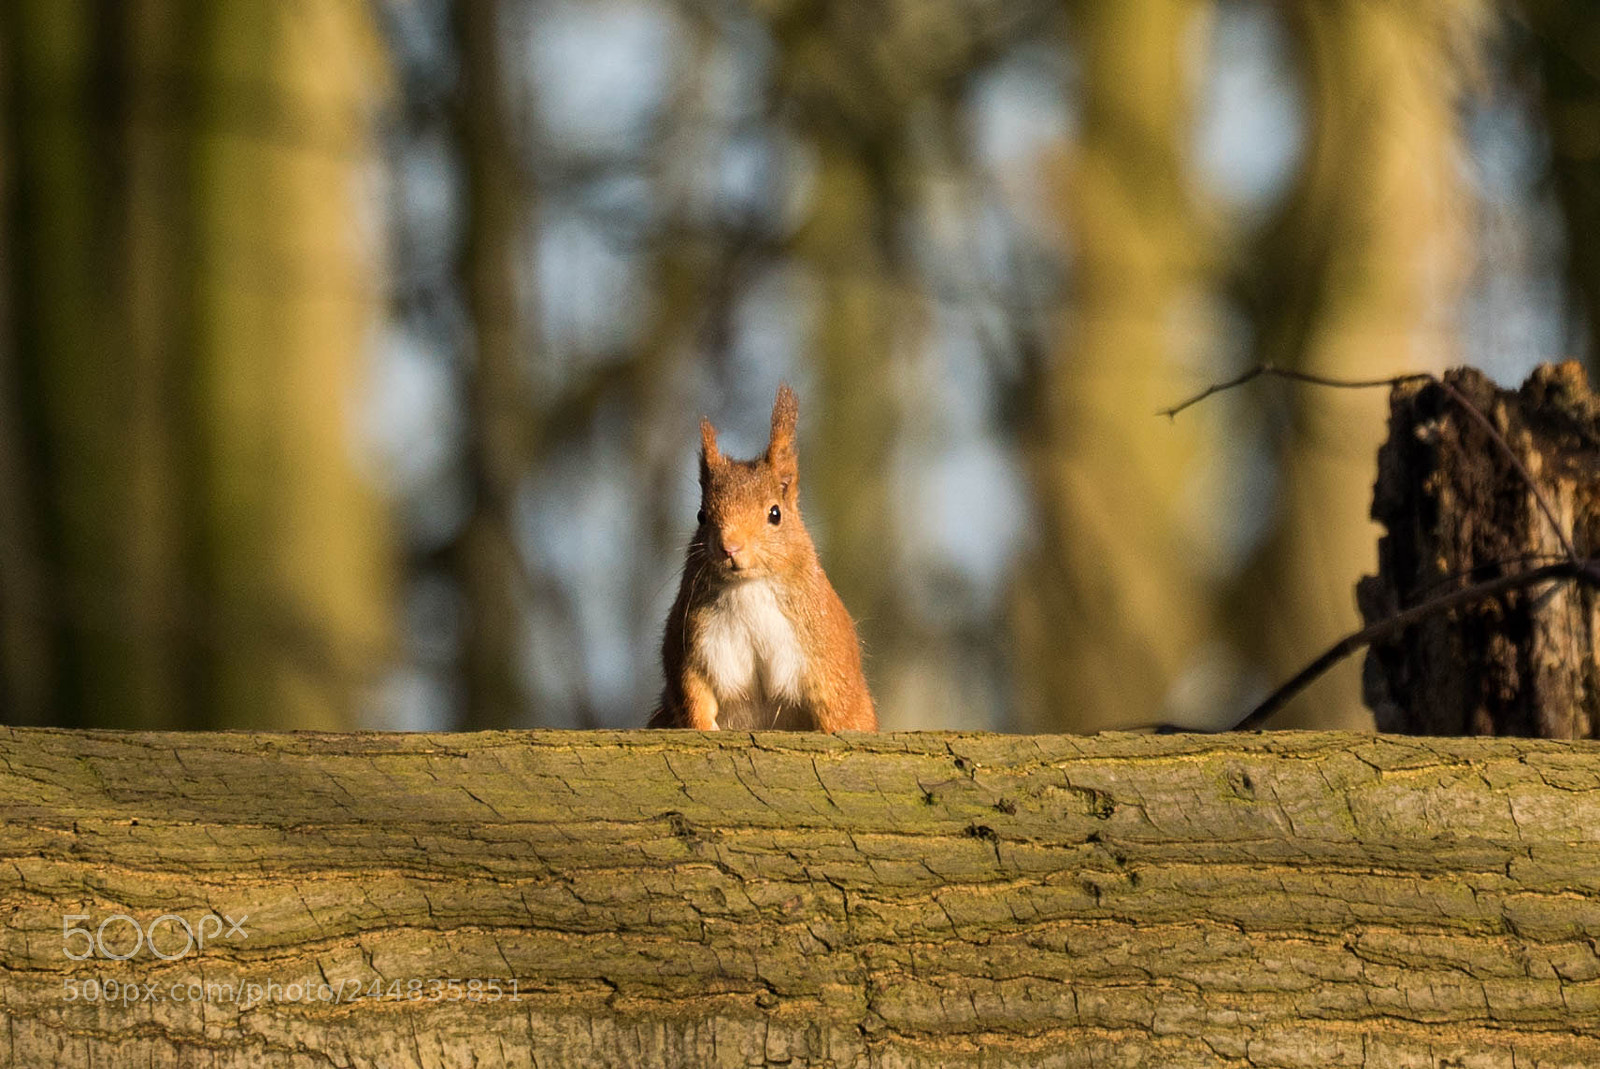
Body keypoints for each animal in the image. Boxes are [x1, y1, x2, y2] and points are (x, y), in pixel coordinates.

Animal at [650, 384, 877, 731]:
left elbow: (837, 707)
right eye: (702, 516)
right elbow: (693, 698)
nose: (730, 547)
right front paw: (704, 727)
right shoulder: (691, 649)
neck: (749, 588)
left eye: (775, 514)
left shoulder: (825, 652)